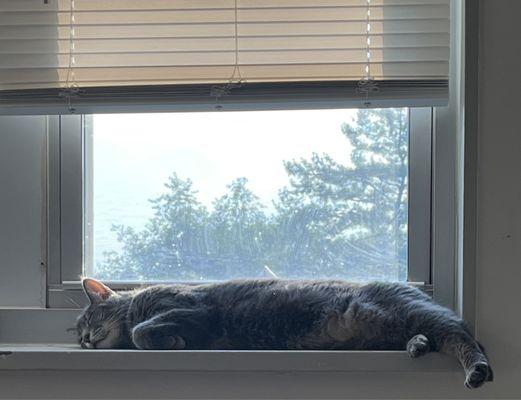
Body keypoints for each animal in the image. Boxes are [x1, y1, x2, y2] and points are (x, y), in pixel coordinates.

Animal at [74, 278, 492, 388]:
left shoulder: (191, 307)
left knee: (463, 336)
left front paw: (171, 340)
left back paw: (477, 370)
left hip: (413, 312)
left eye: (89, 321)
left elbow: (142, 331)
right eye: (77, 336)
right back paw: (416, 345)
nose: (86, 341)